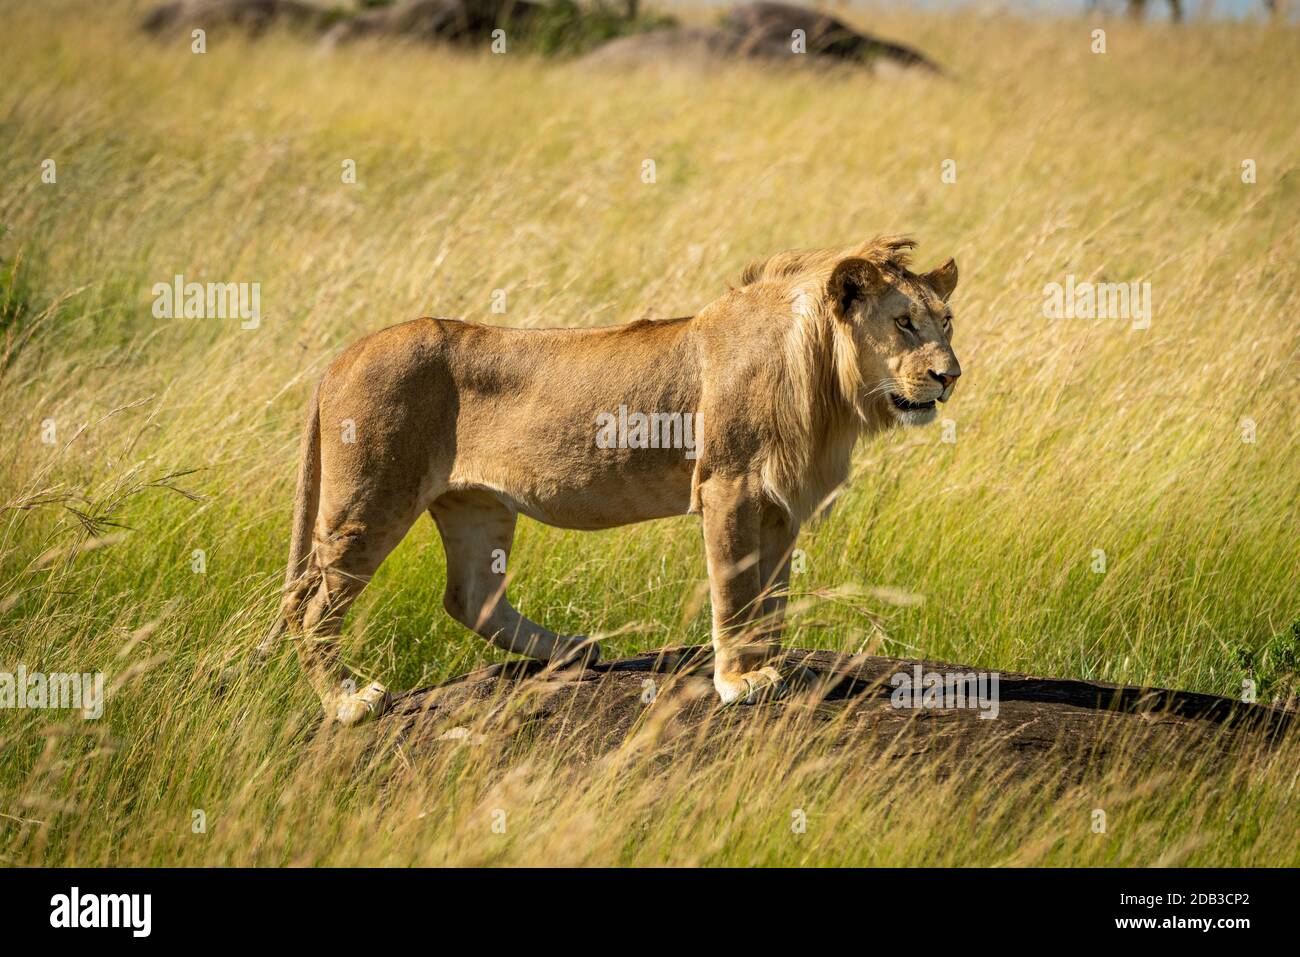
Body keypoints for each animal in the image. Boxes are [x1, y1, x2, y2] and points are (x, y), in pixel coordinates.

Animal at [278, 236, 961, 724]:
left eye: (947, 321)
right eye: (903, 322)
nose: (950, 375)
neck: (827, 382)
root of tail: (343, 353)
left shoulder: (780, 505)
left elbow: (773, 598)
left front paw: (777, 670)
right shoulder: (730, 487)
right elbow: (736, 591)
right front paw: (739, 681)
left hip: (474, 504)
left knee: (470, 596)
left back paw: (572, 652)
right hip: (370, 500)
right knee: (312, 607)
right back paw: (347, 703)